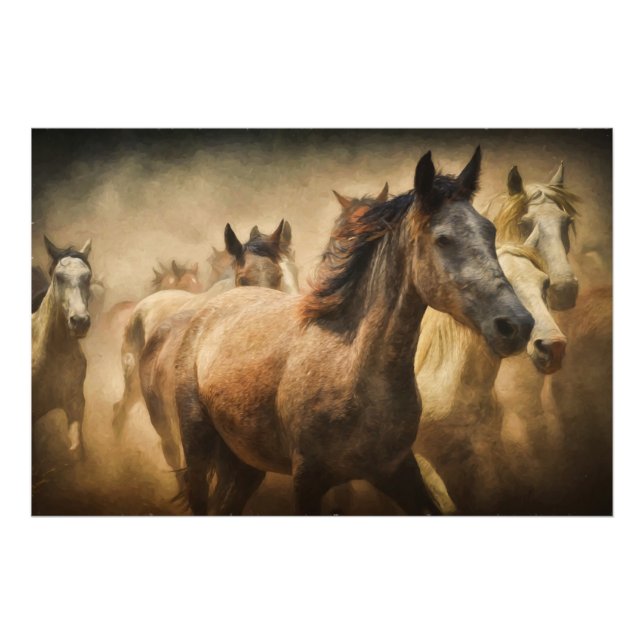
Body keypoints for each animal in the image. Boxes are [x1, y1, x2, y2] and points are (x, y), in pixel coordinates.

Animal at [171, 147, 534, 516]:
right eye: (443, 239)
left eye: (489, 231)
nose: (516, 325)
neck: (353, 368)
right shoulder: (308, 481)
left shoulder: (397, 470)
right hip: (198, 444)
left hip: (247, 462)